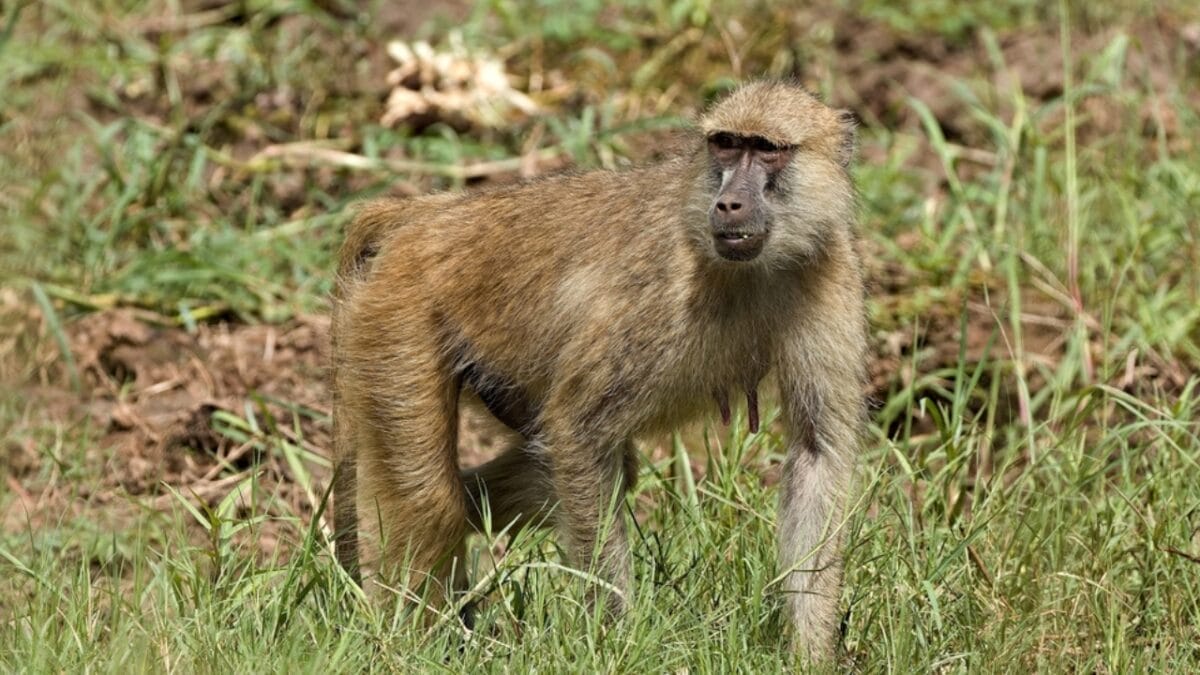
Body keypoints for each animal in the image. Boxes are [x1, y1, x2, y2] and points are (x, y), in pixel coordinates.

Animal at [331, 80, 866, 661]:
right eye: (725, 144)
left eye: (767, 149)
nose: (728, 203)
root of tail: (429, 219)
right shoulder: (659, 292)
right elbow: (578, 433)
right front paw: (614, 645)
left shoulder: (830, 270)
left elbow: (816, 454)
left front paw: (810, 655)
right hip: (399, 316)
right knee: (432, 501)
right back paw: (410, 643)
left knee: (514, 485)